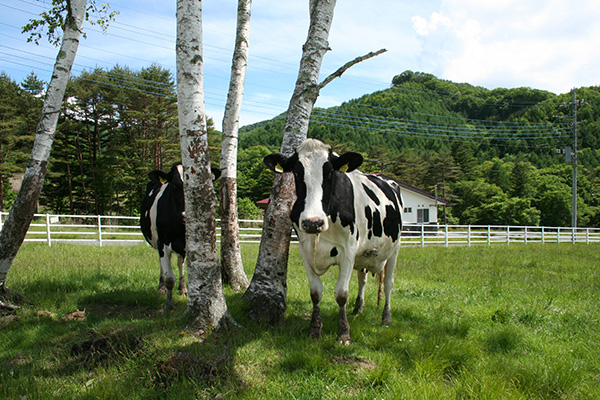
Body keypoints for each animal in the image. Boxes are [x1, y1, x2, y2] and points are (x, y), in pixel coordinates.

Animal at [140, 161, 220, 310]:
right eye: (174, 185)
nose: (185, 216)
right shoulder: (162, 243)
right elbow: (169, 278)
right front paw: (168, 305)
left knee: (180, 263)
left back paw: (182, 288)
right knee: (162, 265)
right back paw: (161, 288)